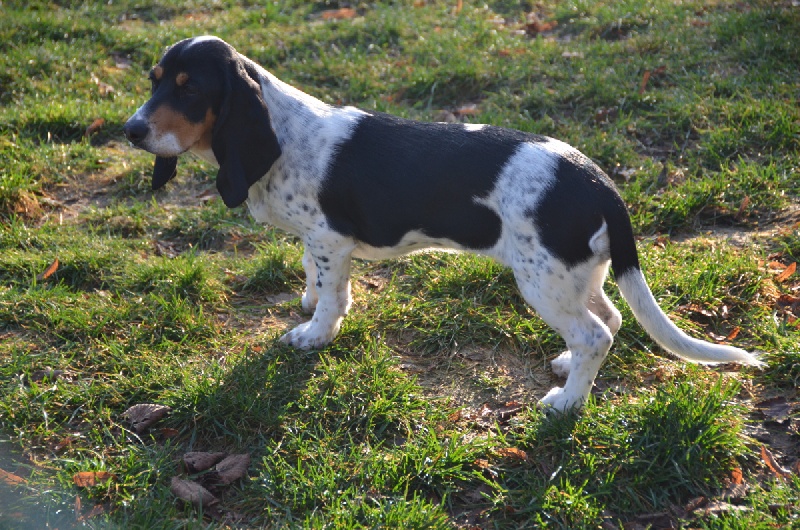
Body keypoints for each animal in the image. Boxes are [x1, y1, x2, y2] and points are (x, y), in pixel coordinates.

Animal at [123, 36, 764, 408]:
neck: (282, 132)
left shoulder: (330, 239)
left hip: (543, 280)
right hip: (579, 271)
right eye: (154, 80)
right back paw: (565, 369)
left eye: (190, 89)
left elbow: (332, 296)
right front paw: (307, 304)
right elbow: (315, 277)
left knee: (596, 334)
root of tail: (598, 181)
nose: (130, 130)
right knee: (608, 320)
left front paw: (313, 335)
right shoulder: (319, 241)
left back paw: (564, 404)